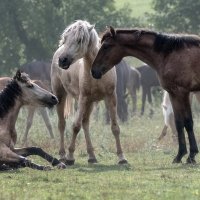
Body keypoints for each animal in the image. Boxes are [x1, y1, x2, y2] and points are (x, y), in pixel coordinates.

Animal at [50, 19, 127, 164]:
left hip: (90, 103)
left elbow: (115, 127)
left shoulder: (111, 97)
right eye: (66, 38)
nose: (62, 60)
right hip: (60, 94)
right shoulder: (82, 98)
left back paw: (91, 156)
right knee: (62, 124)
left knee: (85, 123)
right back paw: (63, 155)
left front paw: (122, 157)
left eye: (80, 40)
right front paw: (70, 157)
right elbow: (75, 126)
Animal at [91, 26, 200, 164]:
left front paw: (191, 155)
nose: (94, 70)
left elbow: (188, 122)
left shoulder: (183, 93)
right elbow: (179, 122)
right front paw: (180, 155)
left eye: (106, 46)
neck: (169, 54)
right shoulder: (174, 94)